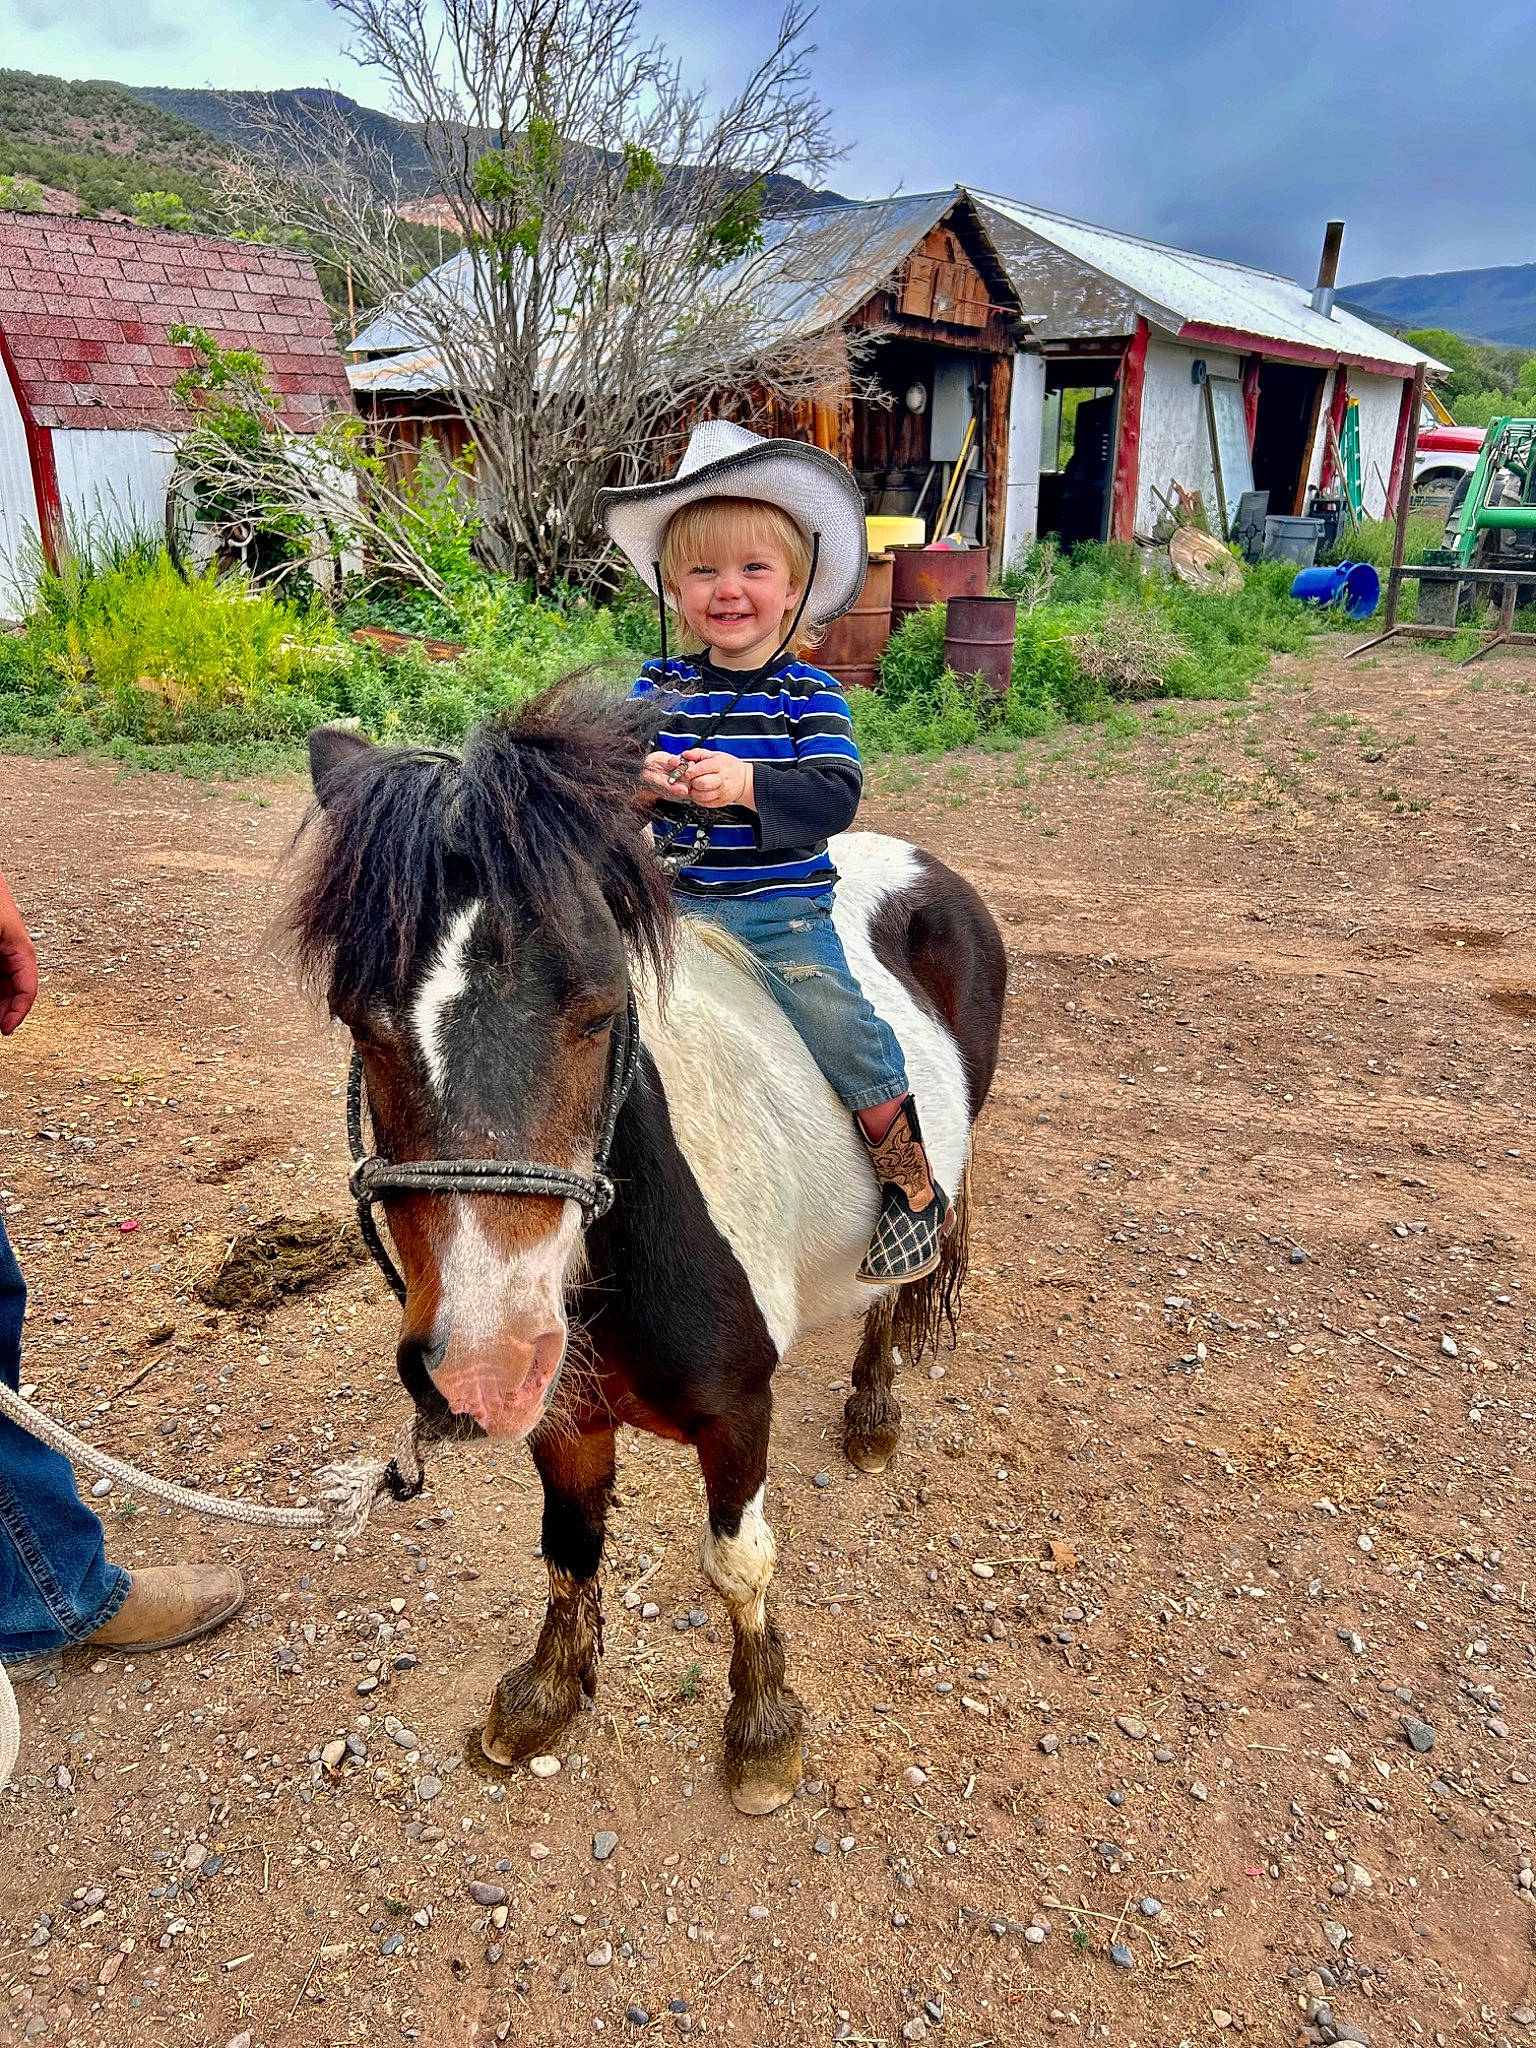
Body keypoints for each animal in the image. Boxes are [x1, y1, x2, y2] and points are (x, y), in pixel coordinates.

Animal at [288, 681, 1007, 1816]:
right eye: (360, 1021)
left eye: (598, 1010)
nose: (483, 1366)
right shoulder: (565, 1414)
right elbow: (569, 1548)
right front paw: (544, 1695)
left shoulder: (739, 1409)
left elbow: (740, 1565)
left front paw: (762, 1732)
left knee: (902, 1279)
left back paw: (872, 1412)